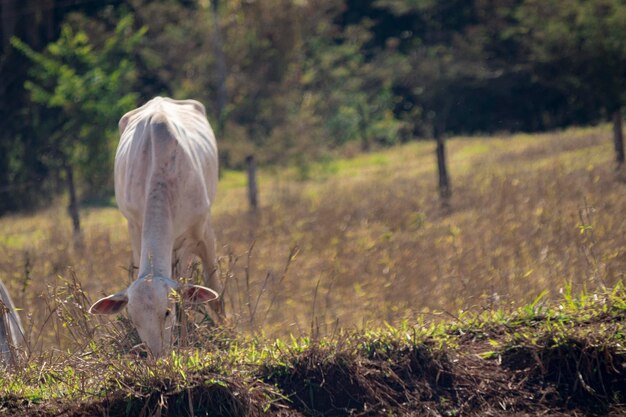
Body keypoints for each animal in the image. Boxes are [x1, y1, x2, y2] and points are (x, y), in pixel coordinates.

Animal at [90, 96, 221, 356]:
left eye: (167, 312)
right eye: (134, 320)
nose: (158, 357)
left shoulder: (198, 235)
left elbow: (197, 295)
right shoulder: (134, 227)